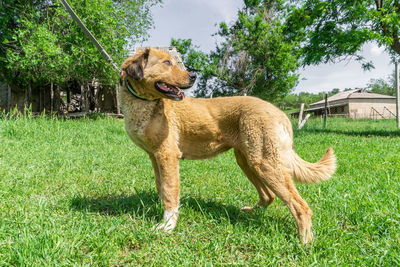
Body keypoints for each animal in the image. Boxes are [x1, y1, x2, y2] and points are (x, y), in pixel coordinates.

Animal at [120, 48, 336, 245]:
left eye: (174, 62)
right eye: (166, 63)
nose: (194, 76)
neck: (143, 102)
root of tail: (280, 112)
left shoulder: (168, 155)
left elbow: (170, 191)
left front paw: (167, 226)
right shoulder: (154, 156)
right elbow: (162, 187)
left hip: (265, 164)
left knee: (301, 206)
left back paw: (304, 242)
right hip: (248, 161)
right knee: (268, 196)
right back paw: (252, 213)